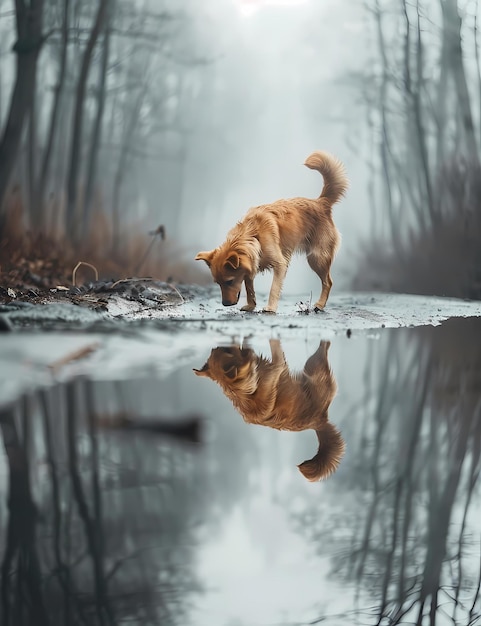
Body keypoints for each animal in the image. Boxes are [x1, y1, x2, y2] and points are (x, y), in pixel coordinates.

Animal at [193, 151, 346, 312]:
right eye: (218, 283)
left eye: (229, 281)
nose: (225, 304)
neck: (254, 234)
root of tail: (321, 202)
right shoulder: (251, 265)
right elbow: (249, 289)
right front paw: (251, 305)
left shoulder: (280, 264)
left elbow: (273, 288)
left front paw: (270, 308)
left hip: (317, 258)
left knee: (328, 282)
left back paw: (320, 304)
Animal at [193, 338, 344, 480]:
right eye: (227, 350)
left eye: (223, 349)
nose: (221, 342)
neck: (249, 390)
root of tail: (321, 420)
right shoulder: (278, 364)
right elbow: (273, 344)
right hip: (314, 365)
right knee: (323, 351)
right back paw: (325, 341)